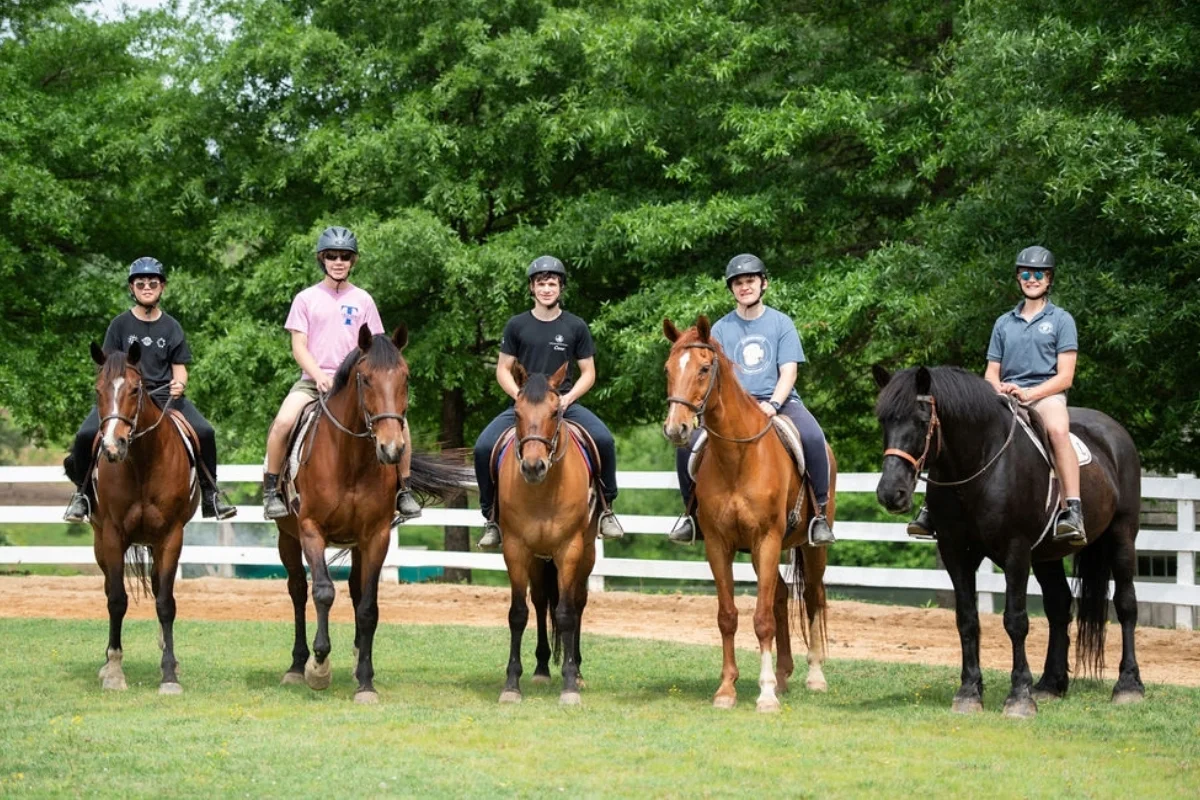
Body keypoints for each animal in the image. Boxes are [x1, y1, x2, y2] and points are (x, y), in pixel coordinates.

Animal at [86, 341, 198, 694]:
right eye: (98, 390)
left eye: (135, 390)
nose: (113, 446)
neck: (144, 463)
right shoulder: (112, 535)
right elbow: (116, 600)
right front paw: (114, 670)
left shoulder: (171, 536)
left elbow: (165, 602)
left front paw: (169, 674)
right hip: (100, 542)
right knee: (109, 589)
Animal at [273, 323, 468, 703]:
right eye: (365, 379)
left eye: (405, 377)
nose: (391, 449)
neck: (349, 460)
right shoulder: (310, 530)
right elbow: (322, 592)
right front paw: (319, 666)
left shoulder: (375, 536)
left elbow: (367, 607)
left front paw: (365, 680)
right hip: (287, 537)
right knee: (298, 590)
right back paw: (296, 666)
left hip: (357, 544)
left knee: (353, 590)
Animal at [496, 361, 597, 706]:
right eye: (516, 412)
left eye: (555, 412)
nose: (533, 466)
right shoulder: (515, 549)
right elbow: (518, 613)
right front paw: (511, 685)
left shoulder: (569, 550)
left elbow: (566, 614)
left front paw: (569, 684)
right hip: (538, 560)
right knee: (540, 602)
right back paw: (541, 668)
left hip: (586, 554)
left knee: (577, 603)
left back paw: (578, 671)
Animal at [662, 317, 835, 712]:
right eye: (667, 369)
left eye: (704, 368)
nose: (676, 428)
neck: (737, 458)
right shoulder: (719, 545)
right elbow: (728, 617)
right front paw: (727, 689)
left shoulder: (766, 540)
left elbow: (762, 619)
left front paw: (766, 694)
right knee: (782, 596)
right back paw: (784, 675)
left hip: (811, 547)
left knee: (813, 596)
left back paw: (815, 677)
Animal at [872, 365, 1144, 717]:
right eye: (883, 421)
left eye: (920, 420)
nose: (890, 493)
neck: (980, 464)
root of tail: (1114, 431)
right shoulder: (955, 552)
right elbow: (967, 620)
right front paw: (969, 692)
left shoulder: (1016, 552)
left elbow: (1016, 620)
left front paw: (1019, 696)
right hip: (1047, 556)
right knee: (1059, 606)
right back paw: (1050, 684)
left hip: (1122, 537)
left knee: (1126, 605)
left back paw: (1128, 685)